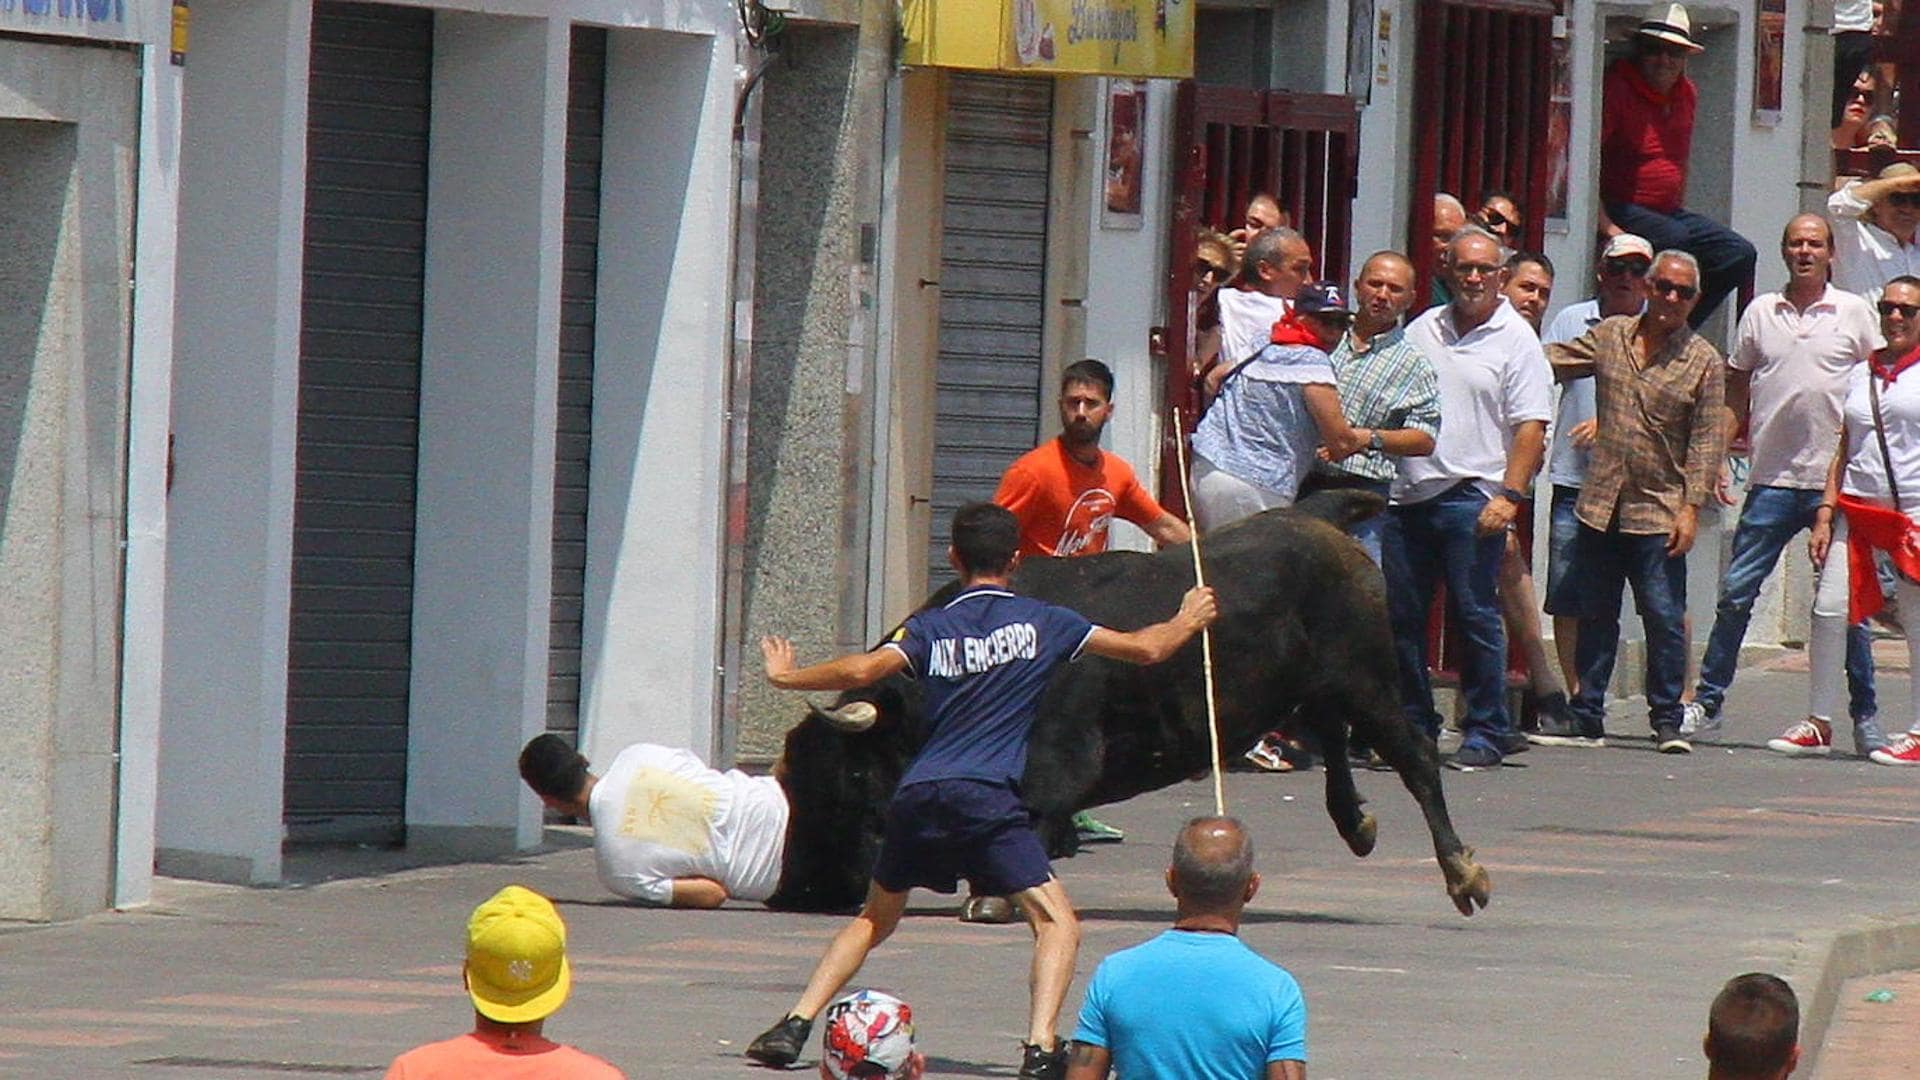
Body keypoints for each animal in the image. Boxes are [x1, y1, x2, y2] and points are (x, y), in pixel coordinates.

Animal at [771, 491, 1489, 910]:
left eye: (852, 774)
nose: (803, 892)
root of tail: (1319, 521)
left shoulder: (1059, 758)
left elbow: (1031, 813)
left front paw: (996, 894)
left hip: (1369, 677)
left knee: (1415, 755)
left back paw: (1462, 872)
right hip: (1315, 687)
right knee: (1337, 740)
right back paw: (1357, 824)